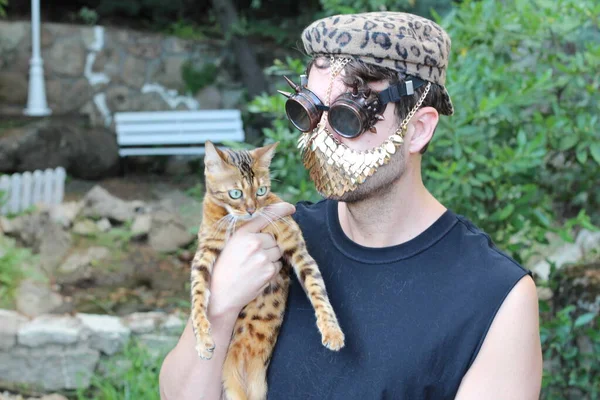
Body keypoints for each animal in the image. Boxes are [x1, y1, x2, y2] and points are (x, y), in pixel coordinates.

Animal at [190, 141, 344, 400]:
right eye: (235, 193)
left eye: (261, 191)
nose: (252, 210)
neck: (241, 222)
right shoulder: (204, 251)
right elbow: (198, 294)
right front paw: (202, 338)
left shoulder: (296, 247)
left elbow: (317, 289)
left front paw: (332, 331)